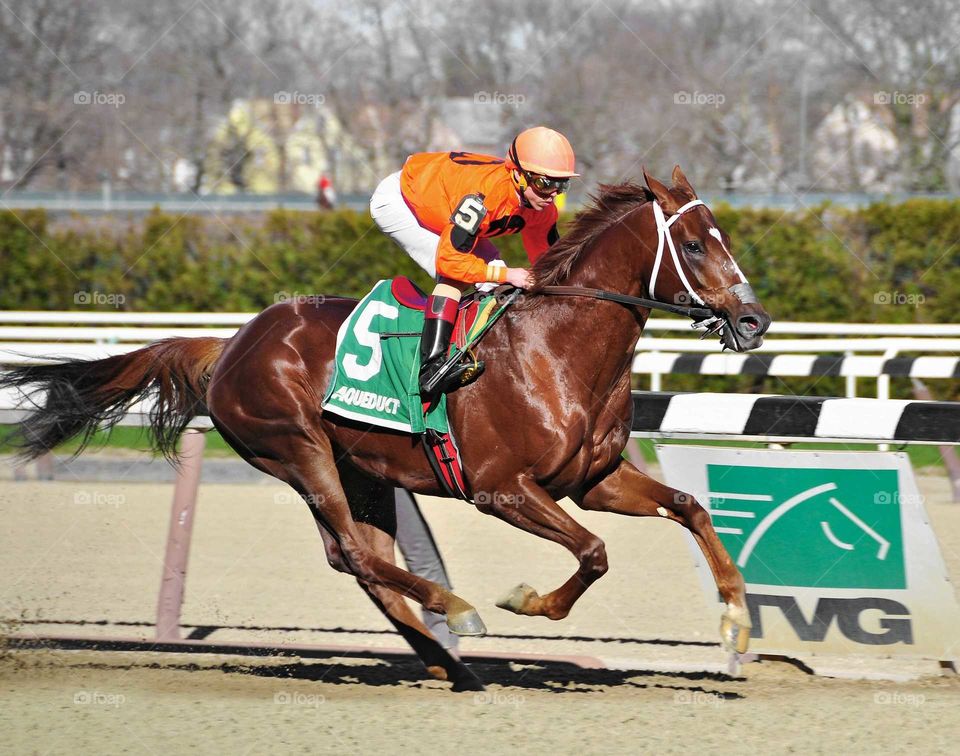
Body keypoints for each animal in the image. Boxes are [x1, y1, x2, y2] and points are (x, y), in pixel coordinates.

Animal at [3, 165, 772, 692]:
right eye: (695, 245)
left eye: (727, 238)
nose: (754, 319)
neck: (557, 347)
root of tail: (230, 345)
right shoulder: (500, 488)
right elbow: (594, 552)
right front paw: (524, 600)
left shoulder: (594, 480)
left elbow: (689, 507)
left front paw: (737, 617)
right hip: (298, 451)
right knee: (356, 554)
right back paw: (457, 612)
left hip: (360, 469)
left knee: (362, 561)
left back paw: (446, 663)